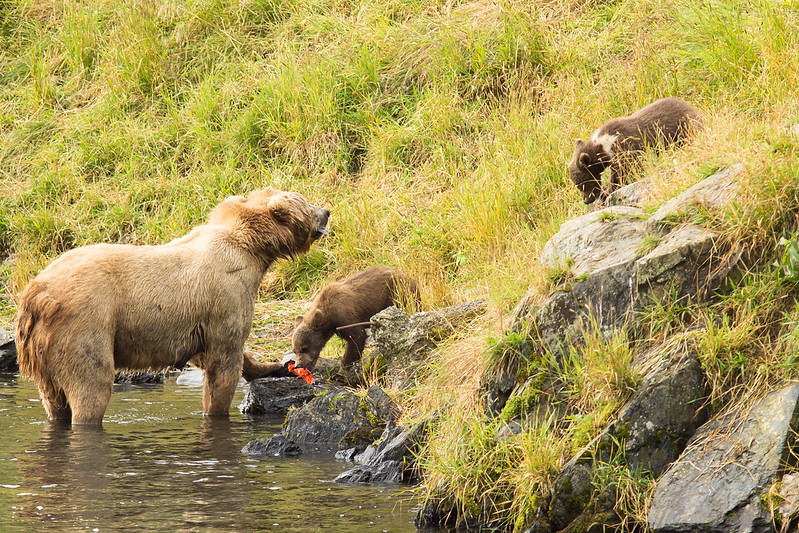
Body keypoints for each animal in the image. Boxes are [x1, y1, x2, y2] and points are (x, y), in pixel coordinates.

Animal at [15, 187, 330, 424]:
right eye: (306, 202)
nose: (326, 211)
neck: (253, 248)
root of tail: (34, 294)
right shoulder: (226, 295)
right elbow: (224, 362)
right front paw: (217, 410)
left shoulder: (196, 323)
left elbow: (210, 356)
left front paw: (275, 365)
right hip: (85, 324)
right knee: (91, 384)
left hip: (44, 351)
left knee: (54, 399)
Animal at [290, 264, 422, 370]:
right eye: (294, 350)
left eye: (305, 348)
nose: (298, 365)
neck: (329, 318)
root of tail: (409, 276)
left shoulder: (345, 316)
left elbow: (356, 338)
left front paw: (341, 371)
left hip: (399, 294)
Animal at [568, 95, 700, 204]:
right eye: (578, 185)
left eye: (582, 185)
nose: (586, 200)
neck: (605, 146)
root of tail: (689, 105)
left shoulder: (625, 148)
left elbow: (625, 172)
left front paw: (606, 192)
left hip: (684, 127)